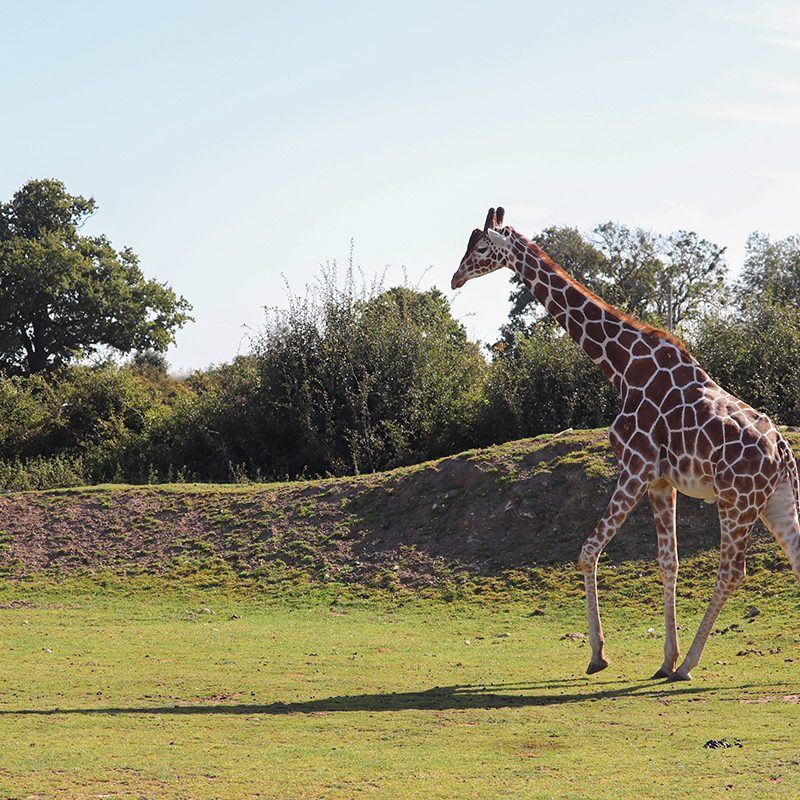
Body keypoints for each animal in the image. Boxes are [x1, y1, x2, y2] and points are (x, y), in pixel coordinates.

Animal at [450, 206, 800, 680]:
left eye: (483, 247)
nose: (456, 277)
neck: (622, 368)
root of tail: (782, 450)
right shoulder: (661, 481)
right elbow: (668, 562)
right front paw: (663, 658)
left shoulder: (635, 467)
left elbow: (588, 551)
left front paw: (599, 655)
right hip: (773, 500)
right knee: (793, 558)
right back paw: (683, 662)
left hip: (736, 501)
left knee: (732, 571)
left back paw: (690, 664)